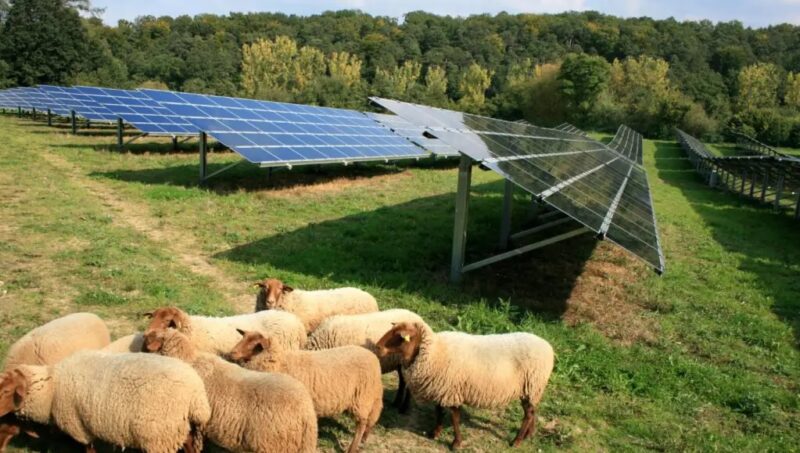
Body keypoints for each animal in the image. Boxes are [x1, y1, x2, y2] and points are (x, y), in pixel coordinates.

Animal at [0, 350, 211, 452]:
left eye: (7, 390)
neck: (52, 389)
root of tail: (197, 397)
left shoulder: (80, 428)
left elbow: (89, 449)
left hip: (159, 438)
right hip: (182, 430)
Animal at [228, 328, 384, 452]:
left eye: (255, 344)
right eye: (243, 338)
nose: (232, 353)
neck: (280, 362)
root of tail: (373, 358)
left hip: (362, 397)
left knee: (362, 423)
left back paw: (353, 447)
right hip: (372, 394)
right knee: (372, 416)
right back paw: (364, 439)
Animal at [374, 320, 552, 446]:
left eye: (399, 336)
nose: (377, 347)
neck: (435, 352)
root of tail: (548, 346)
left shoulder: (451, 390)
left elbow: (454, 418)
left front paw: (456, 443)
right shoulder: (440, 389)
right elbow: (439, 413)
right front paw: (434, 433)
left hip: (532, 385)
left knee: (528, 414)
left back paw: (517, 441)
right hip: (532, 389)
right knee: (532, 411)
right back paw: (529, 434)